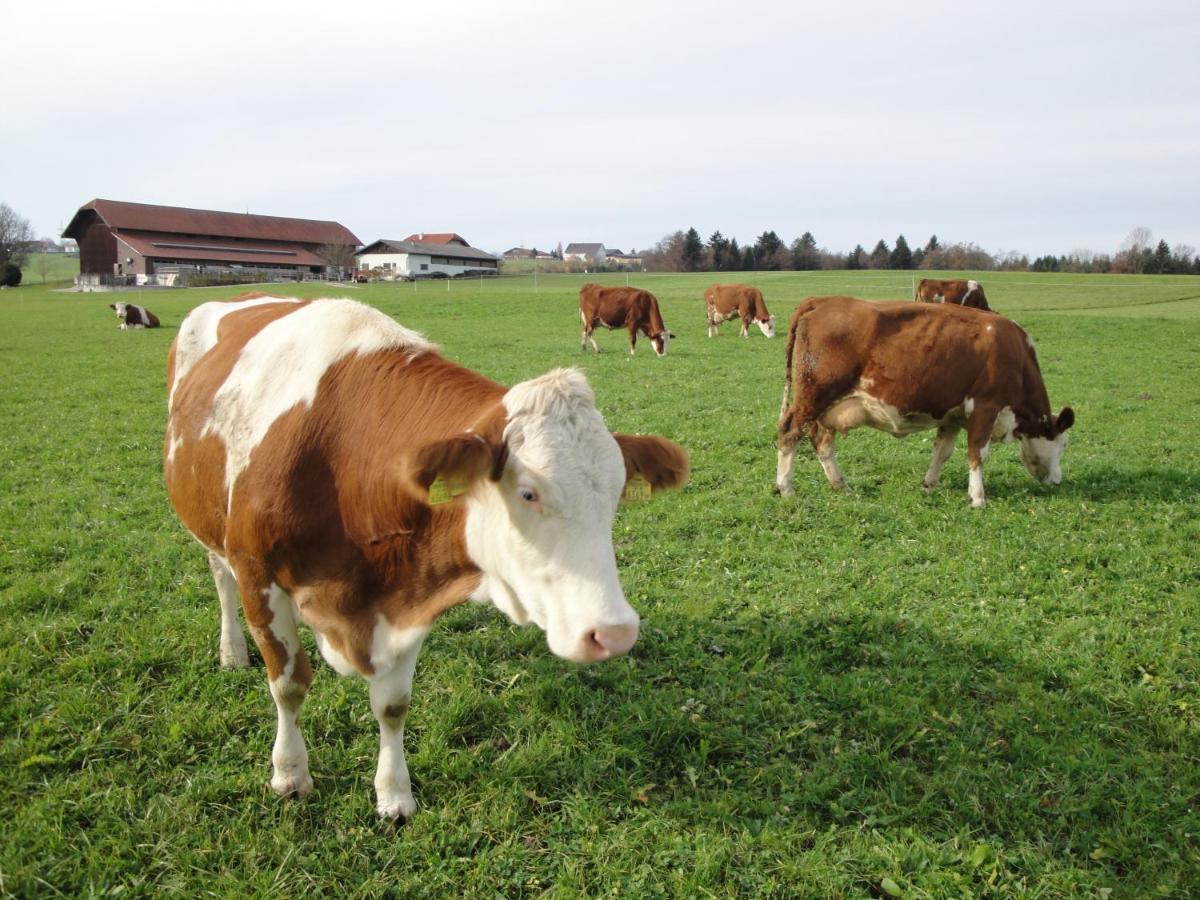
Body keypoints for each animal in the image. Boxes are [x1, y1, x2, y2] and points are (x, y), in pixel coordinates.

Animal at [162, 296, 686, 825]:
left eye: (617, 494)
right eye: (528, 493)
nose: (615, 633)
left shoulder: (409, 589)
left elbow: (393, 705)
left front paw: (394, 796)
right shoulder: (257, 573)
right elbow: (288, 685)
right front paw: (290, 775)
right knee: (219, 578)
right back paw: (232, 651)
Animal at [777, 296, 1080, 508]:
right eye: (1064, 445)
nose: (1057, 480)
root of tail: (822, 300)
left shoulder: (954, 416)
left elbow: (942, 452)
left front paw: (929, 485)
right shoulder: (986, 406)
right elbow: (978, 453)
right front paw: (978, 498)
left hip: (826, 408)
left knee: (821, 442)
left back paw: (841, 485)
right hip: (812, 398)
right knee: (790, 433)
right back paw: (786, 488)